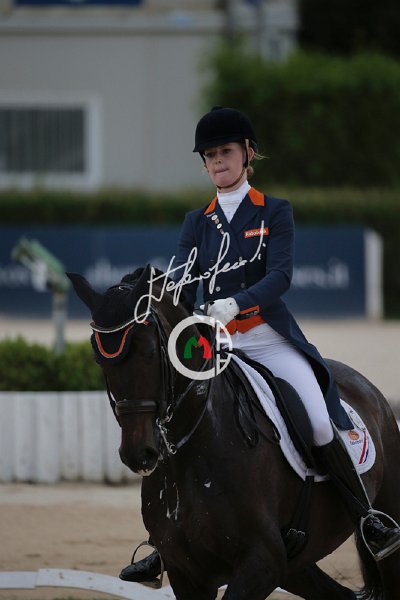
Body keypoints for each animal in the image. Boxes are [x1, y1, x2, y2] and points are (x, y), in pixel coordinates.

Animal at [68, 265, 400, 600]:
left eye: (148, 350)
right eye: (98, 357)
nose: (138, 454)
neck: (190, 454)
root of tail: (366, 387)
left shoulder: (262, 563)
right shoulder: (186, 572)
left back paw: (377, 530)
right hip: (296, 567)